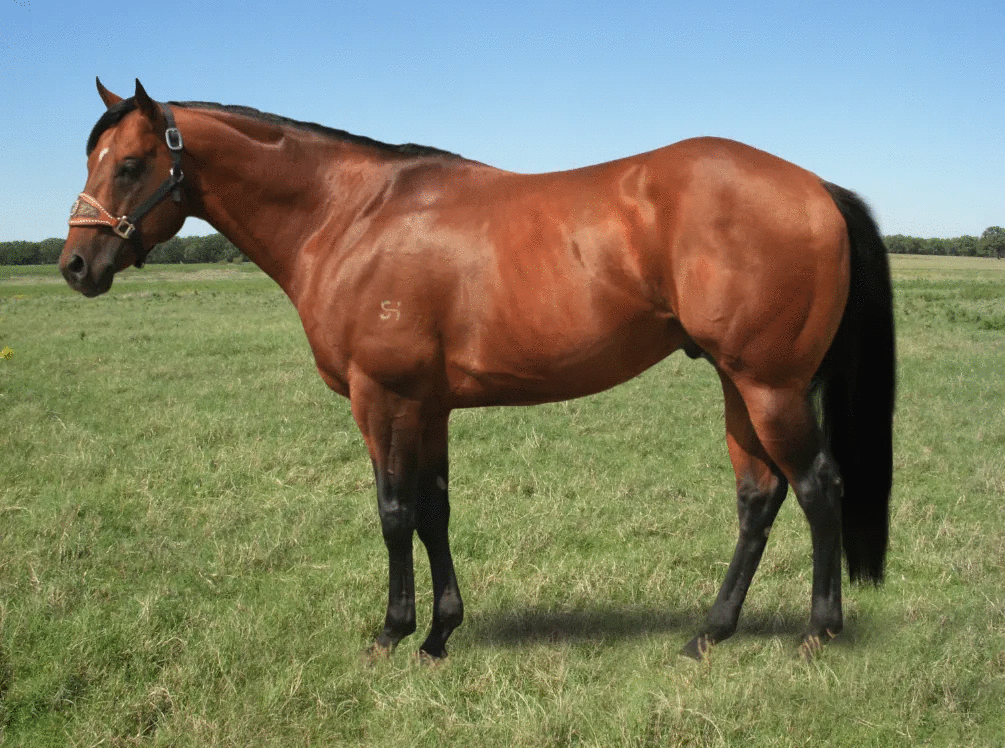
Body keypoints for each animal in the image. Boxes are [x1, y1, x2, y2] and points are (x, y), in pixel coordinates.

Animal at [60, 79, 895, 661]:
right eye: (93, 159)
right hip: (736, 384)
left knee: (817, 487)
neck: (351, 216)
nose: (75, 265)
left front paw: (392, 634)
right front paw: (439, 635)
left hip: (769, 386)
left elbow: (394, 512)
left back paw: (816, 633)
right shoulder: (426, 406)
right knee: (758, 498)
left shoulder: (383, 398)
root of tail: (816, 188)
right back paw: (708, 634)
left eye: (129, 164)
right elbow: (433, 510)